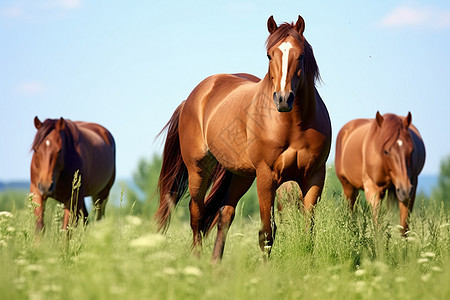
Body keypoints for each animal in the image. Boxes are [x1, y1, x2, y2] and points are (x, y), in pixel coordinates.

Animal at [157, 15, 330, 262]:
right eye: (269, 55)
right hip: (198, 169)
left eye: (301, 55)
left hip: (241, 175)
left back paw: (215, 264)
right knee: (196, 213)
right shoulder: (267, 176)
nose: (283, 99)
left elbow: (309, 232)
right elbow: (267, 233)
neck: (295, 125)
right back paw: (197, 261)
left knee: (224, 214)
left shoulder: (314, 177)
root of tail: (193, 97)